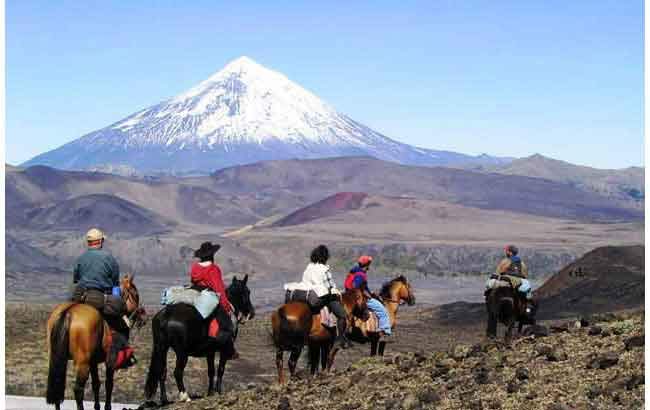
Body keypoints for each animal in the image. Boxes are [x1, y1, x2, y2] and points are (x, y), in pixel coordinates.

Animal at [46, 274, 146, 410]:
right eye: (135, 294)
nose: (142, 318)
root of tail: (68, 312)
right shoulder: (110, 362)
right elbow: (109, 384)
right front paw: (107, 407)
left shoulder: (93, 361)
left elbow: (96, 384)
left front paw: (97, 406)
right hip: (83, 363)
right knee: (78, 389)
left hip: (59, 357)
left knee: (57, 384)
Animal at [144, 274, 253, 406]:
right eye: (247, 291)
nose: (252, 313)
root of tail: (166, 316)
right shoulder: (223, 350)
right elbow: (221, 369)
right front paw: (218, 392)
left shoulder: (210, 351)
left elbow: (211, 371)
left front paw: (210, 392)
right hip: (182, 353)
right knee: (177, 372)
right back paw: (185, 397)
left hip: (162, 348)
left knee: (162, 372)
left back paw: (164, 400)